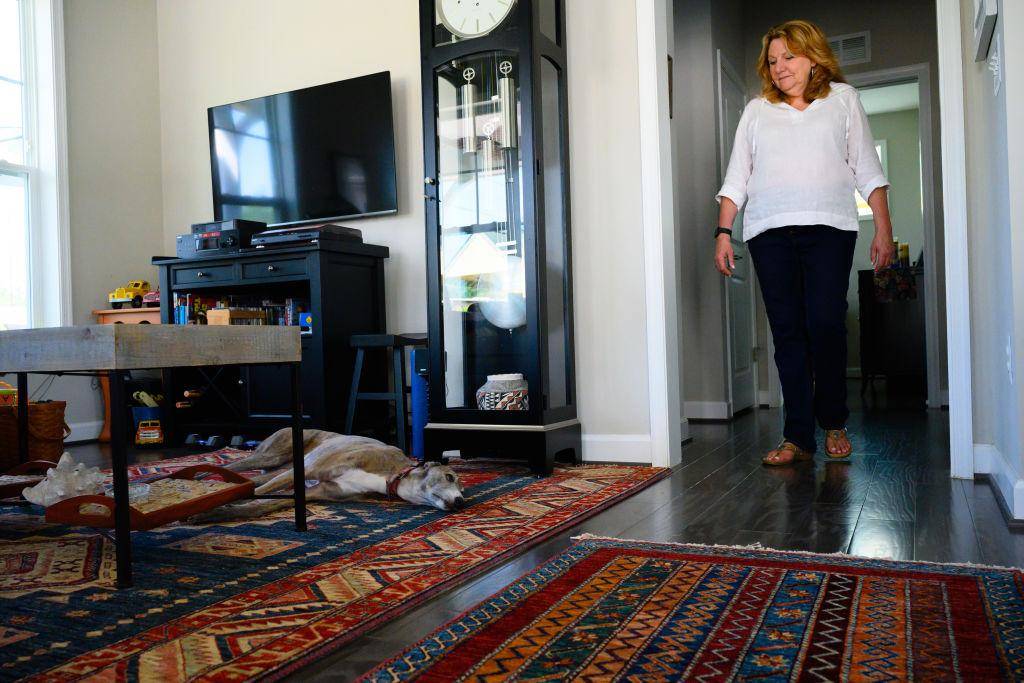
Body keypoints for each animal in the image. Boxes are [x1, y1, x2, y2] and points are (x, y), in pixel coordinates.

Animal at [190, 428, 466, 524]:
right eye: (450, 477)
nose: (460, 502)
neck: (391, 474)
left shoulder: (316, 491)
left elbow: (260, 504)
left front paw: (217, 514)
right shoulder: (306, 471)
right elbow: (257, 495)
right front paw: (210, 509)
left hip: (279, 469)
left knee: (249, 480)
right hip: (273, 457)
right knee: (235, 466)